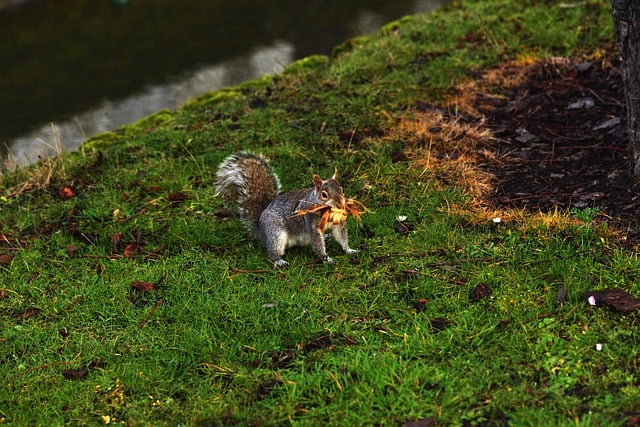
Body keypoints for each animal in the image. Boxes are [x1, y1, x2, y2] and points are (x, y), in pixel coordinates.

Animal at [214, 151, 356, 268]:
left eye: (342, 189)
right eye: (324, 195)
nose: (340, 204)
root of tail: (261, 231)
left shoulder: (339, 223)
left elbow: (341, 236)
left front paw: (349, 250)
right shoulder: (311, 223)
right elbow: (317, 244)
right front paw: (326, 259)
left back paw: (326, 236)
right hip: (274, 233)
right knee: (273, 252)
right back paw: (278, 261)